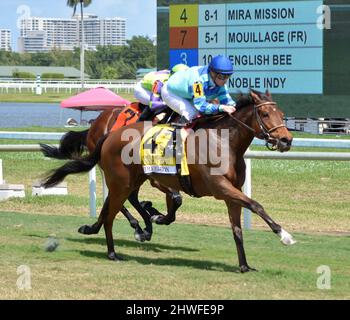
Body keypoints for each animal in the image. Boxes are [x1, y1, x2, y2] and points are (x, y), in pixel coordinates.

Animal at [40, 104, 183, 241]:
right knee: (123, 196)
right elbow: (176, 199)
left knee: (124, 196)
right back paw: (136, 226)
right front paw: (155, 217)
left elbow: (175, 199)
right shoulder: (156, 178)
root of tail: (95, 123)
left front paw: (155, 215)